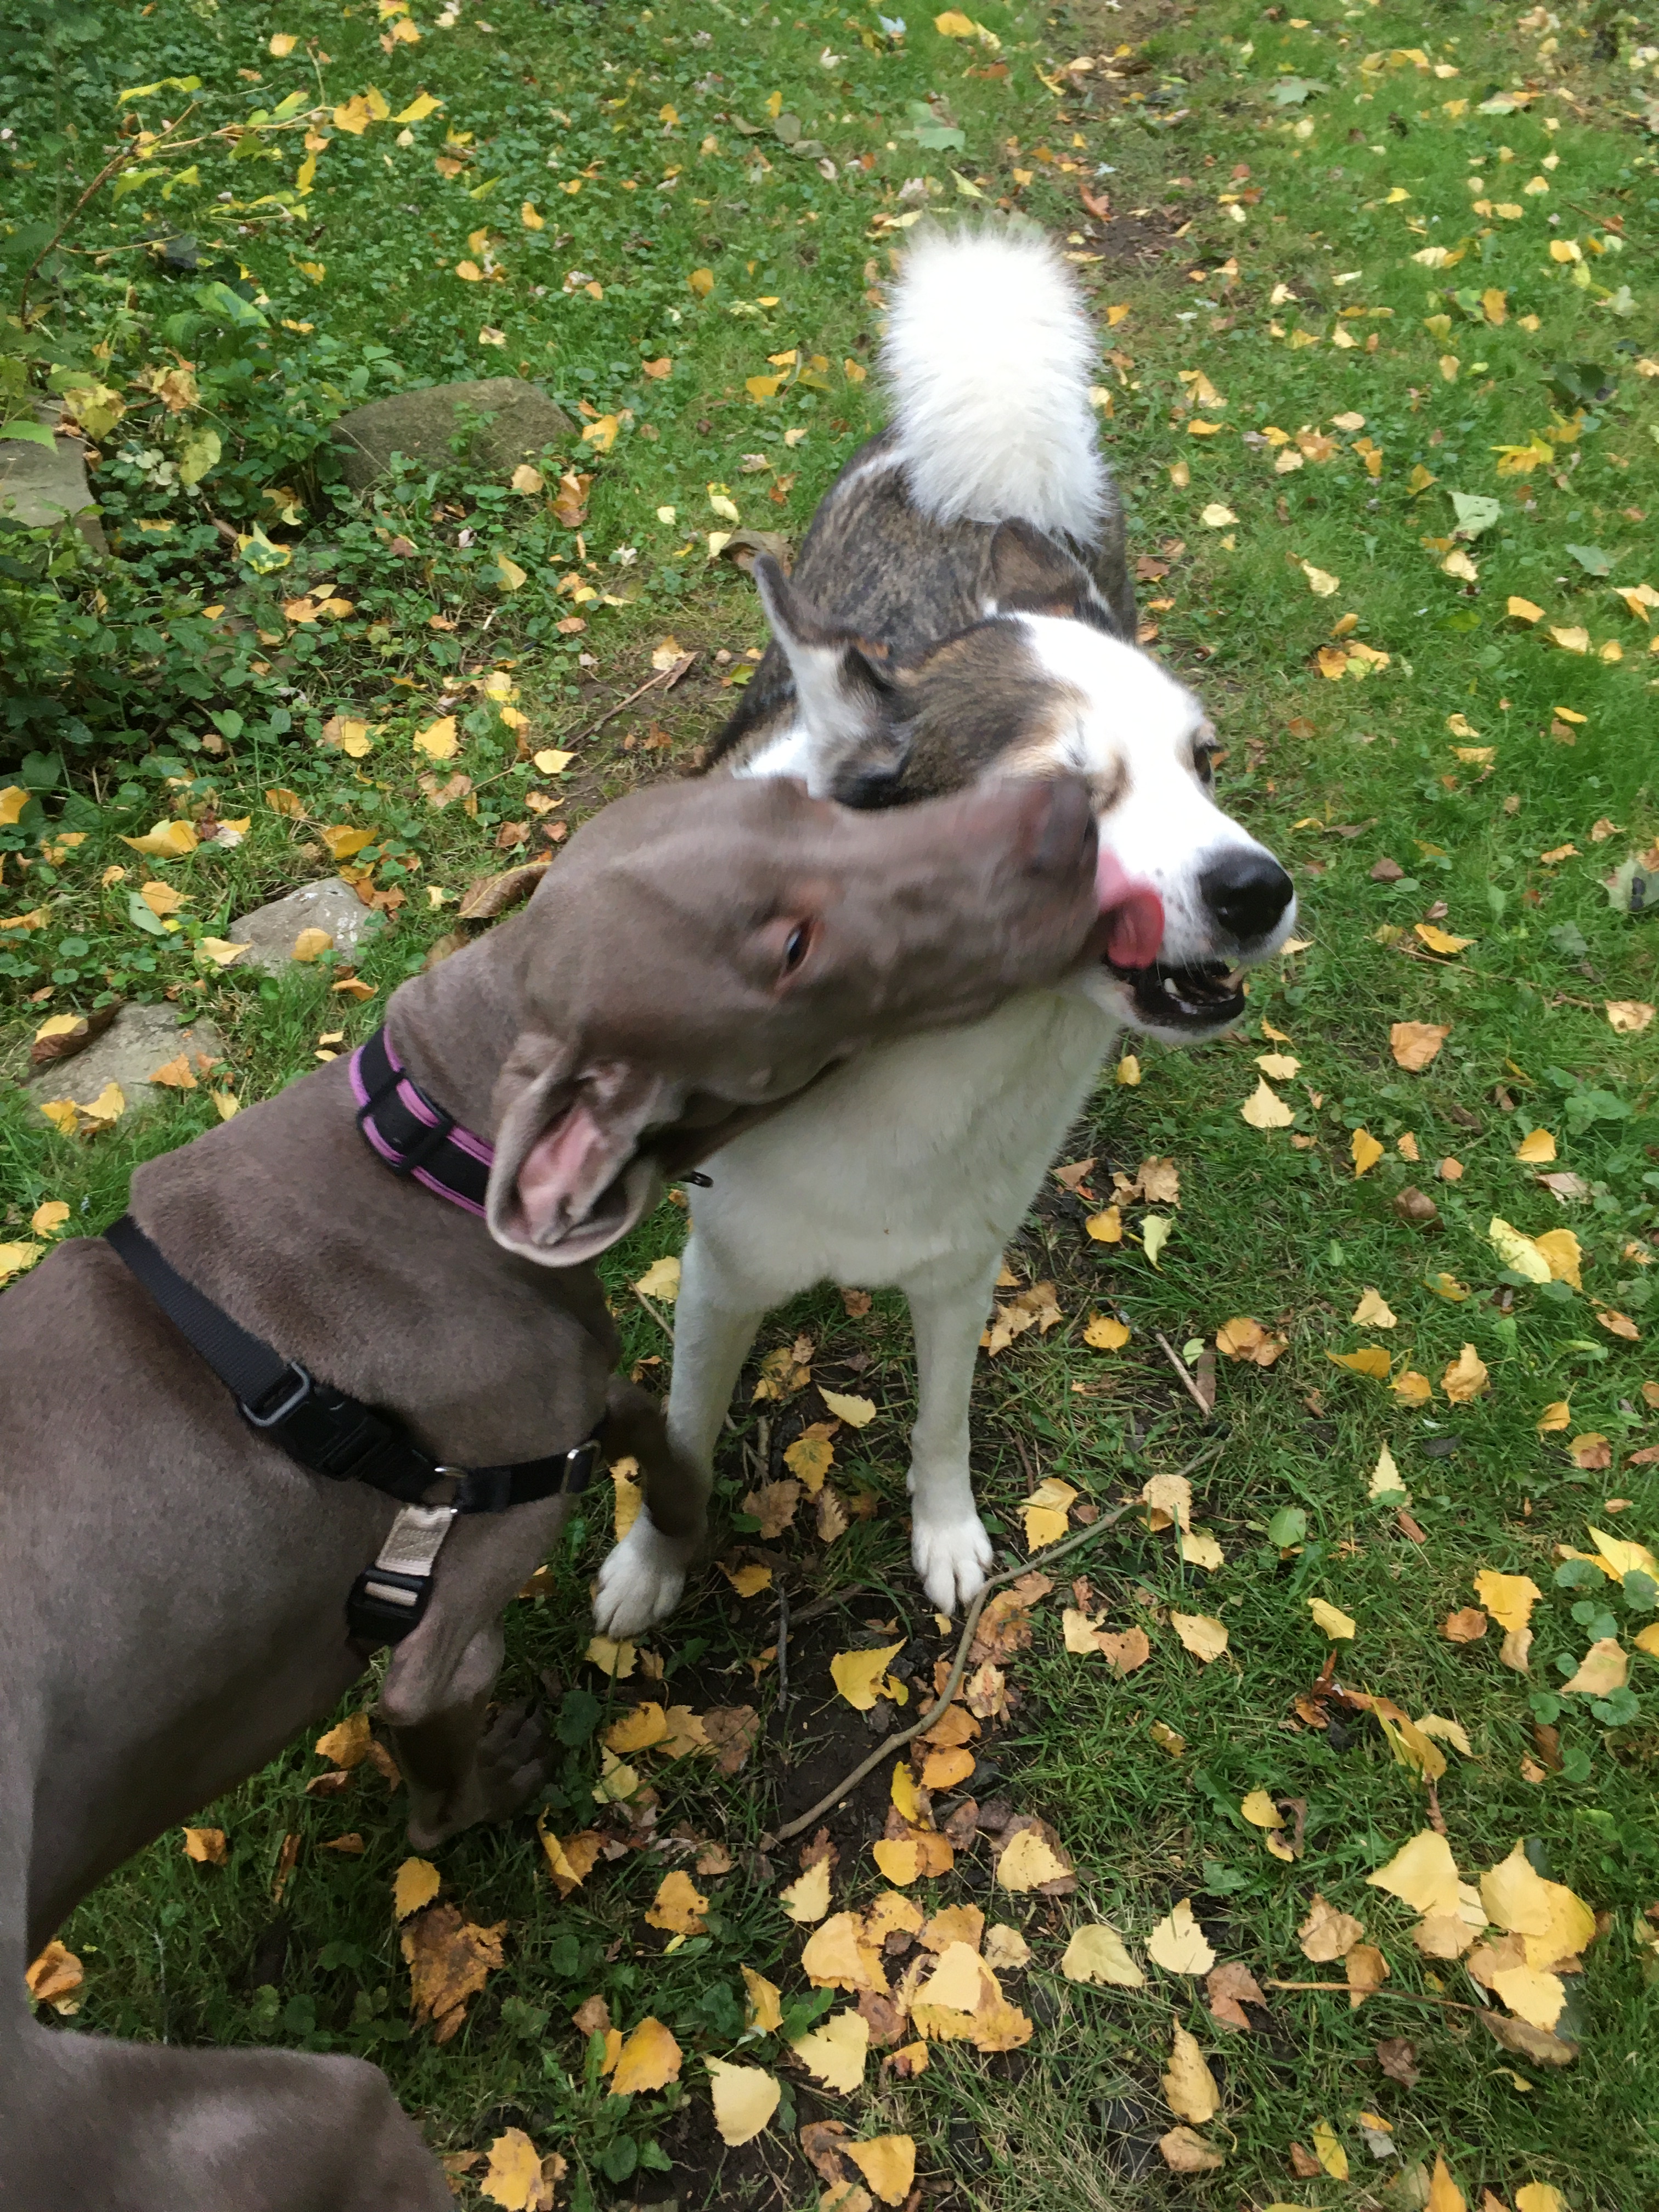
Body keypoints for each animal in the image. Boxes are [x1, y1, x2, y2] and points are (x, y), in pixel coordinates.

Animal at [0, 769, 1111, 2209]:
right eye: (790, 950)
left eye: (805, 797)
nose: (1064, 811)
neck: (427, 1147)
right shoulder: (498, 1509)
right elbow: (456, 1688)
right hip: (287, 2118)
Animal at [593, 223, 1297, 1634]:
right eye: (1063, 800)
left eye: (1205, 765)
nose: (1262, 891)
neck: (938, 1051)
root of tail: (980, 485)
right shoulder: (719, 1272)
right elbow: (683, 1436)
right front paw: (652, 1565)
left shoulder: (962, 1271)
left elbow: (943, 1425)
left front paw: (950, 1534)